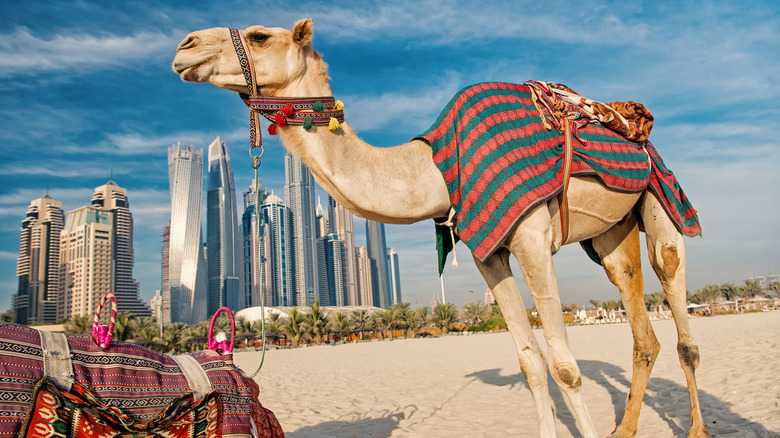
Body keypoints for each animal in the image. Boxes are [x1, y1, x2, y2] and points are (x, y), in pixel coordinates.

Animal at [174, 18, 708, 436]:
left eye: (260, 35)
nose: (185, 46)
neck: (435, 169)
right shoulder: (489, 251)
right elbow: (531, 363)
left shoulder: (532, 237)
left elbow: (566, 369)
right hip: (612, 231)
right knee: (638, 317)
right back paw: (626, 428)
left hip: (660, 192)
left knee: (674, 291)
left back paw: (696, 429)